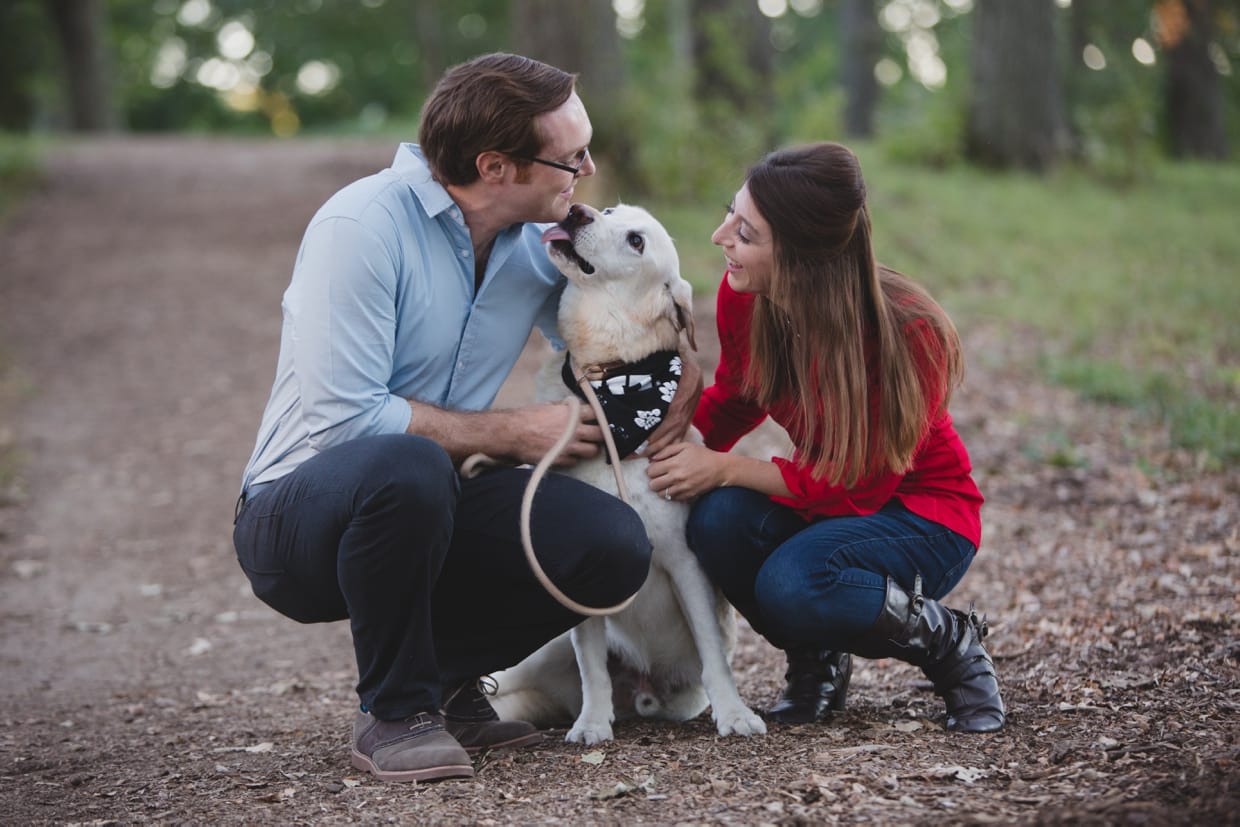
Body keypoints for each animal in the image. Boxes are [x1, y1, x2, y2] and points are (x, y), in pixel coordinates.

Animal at [486, 203, 763, 748]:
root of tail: (642, 690)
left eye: (636, 240)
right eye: (611, 211)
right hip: (543, 653)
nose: (577, 211)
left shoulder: (686, 563)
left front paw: (733, 713)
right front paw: (593, 723)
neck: (607, 381)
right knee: (507, 678)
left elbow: (714, 654)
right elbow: (592, 665)